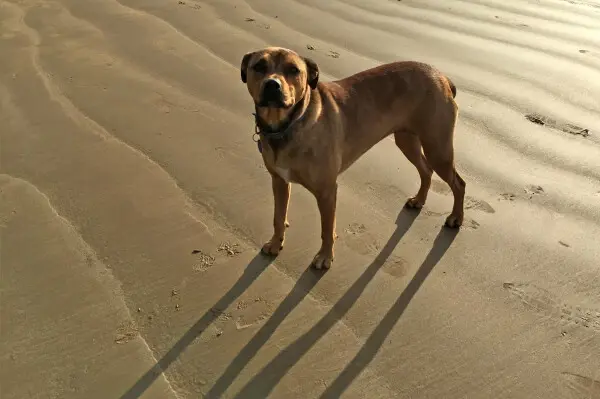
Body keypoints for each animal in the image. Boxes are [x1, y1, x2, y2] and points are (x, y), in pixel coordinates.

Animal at [239, 47, 464, 272]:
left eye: (293, 70)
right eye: (259, 66)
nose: (272, 84)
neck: (287, 126)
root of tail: (442, 77)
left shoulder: (327, 191)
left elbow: (327, 229)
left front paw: (325, 257)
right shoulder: (279, 180)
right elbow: (278, 216)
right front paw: (276, 243)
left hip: (438, 148)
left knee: (458, 183)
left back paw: (455, 218)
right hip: (407, 140)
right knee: (426, 170)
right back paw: (419, 200)